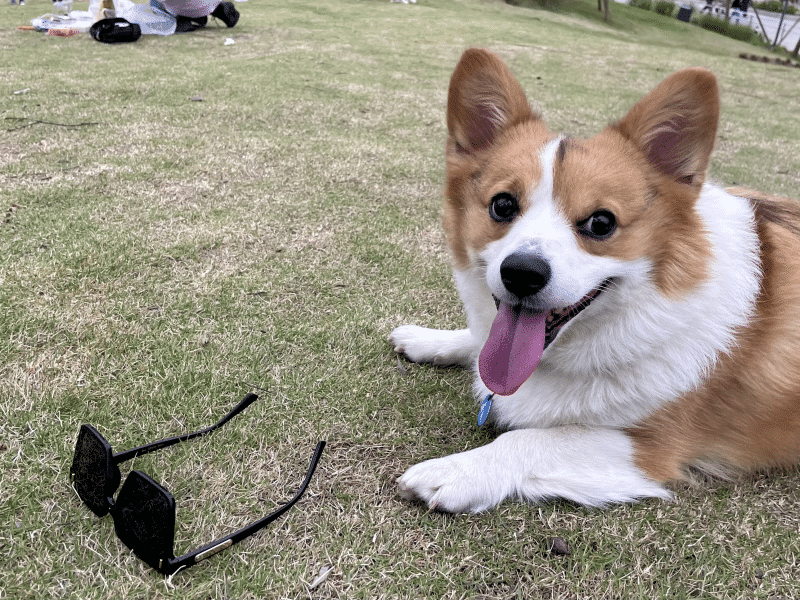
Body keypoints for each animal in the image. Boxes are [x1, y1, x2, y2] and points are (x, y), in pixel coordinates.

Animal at [390, 49, 800, 512]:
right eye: (502, 205)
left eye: (601, 223)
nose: (521, 273)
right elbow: (478, 343)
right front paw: (429, 339)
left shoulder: (650, 447)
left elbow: (529, 440)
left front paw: (455, 471)